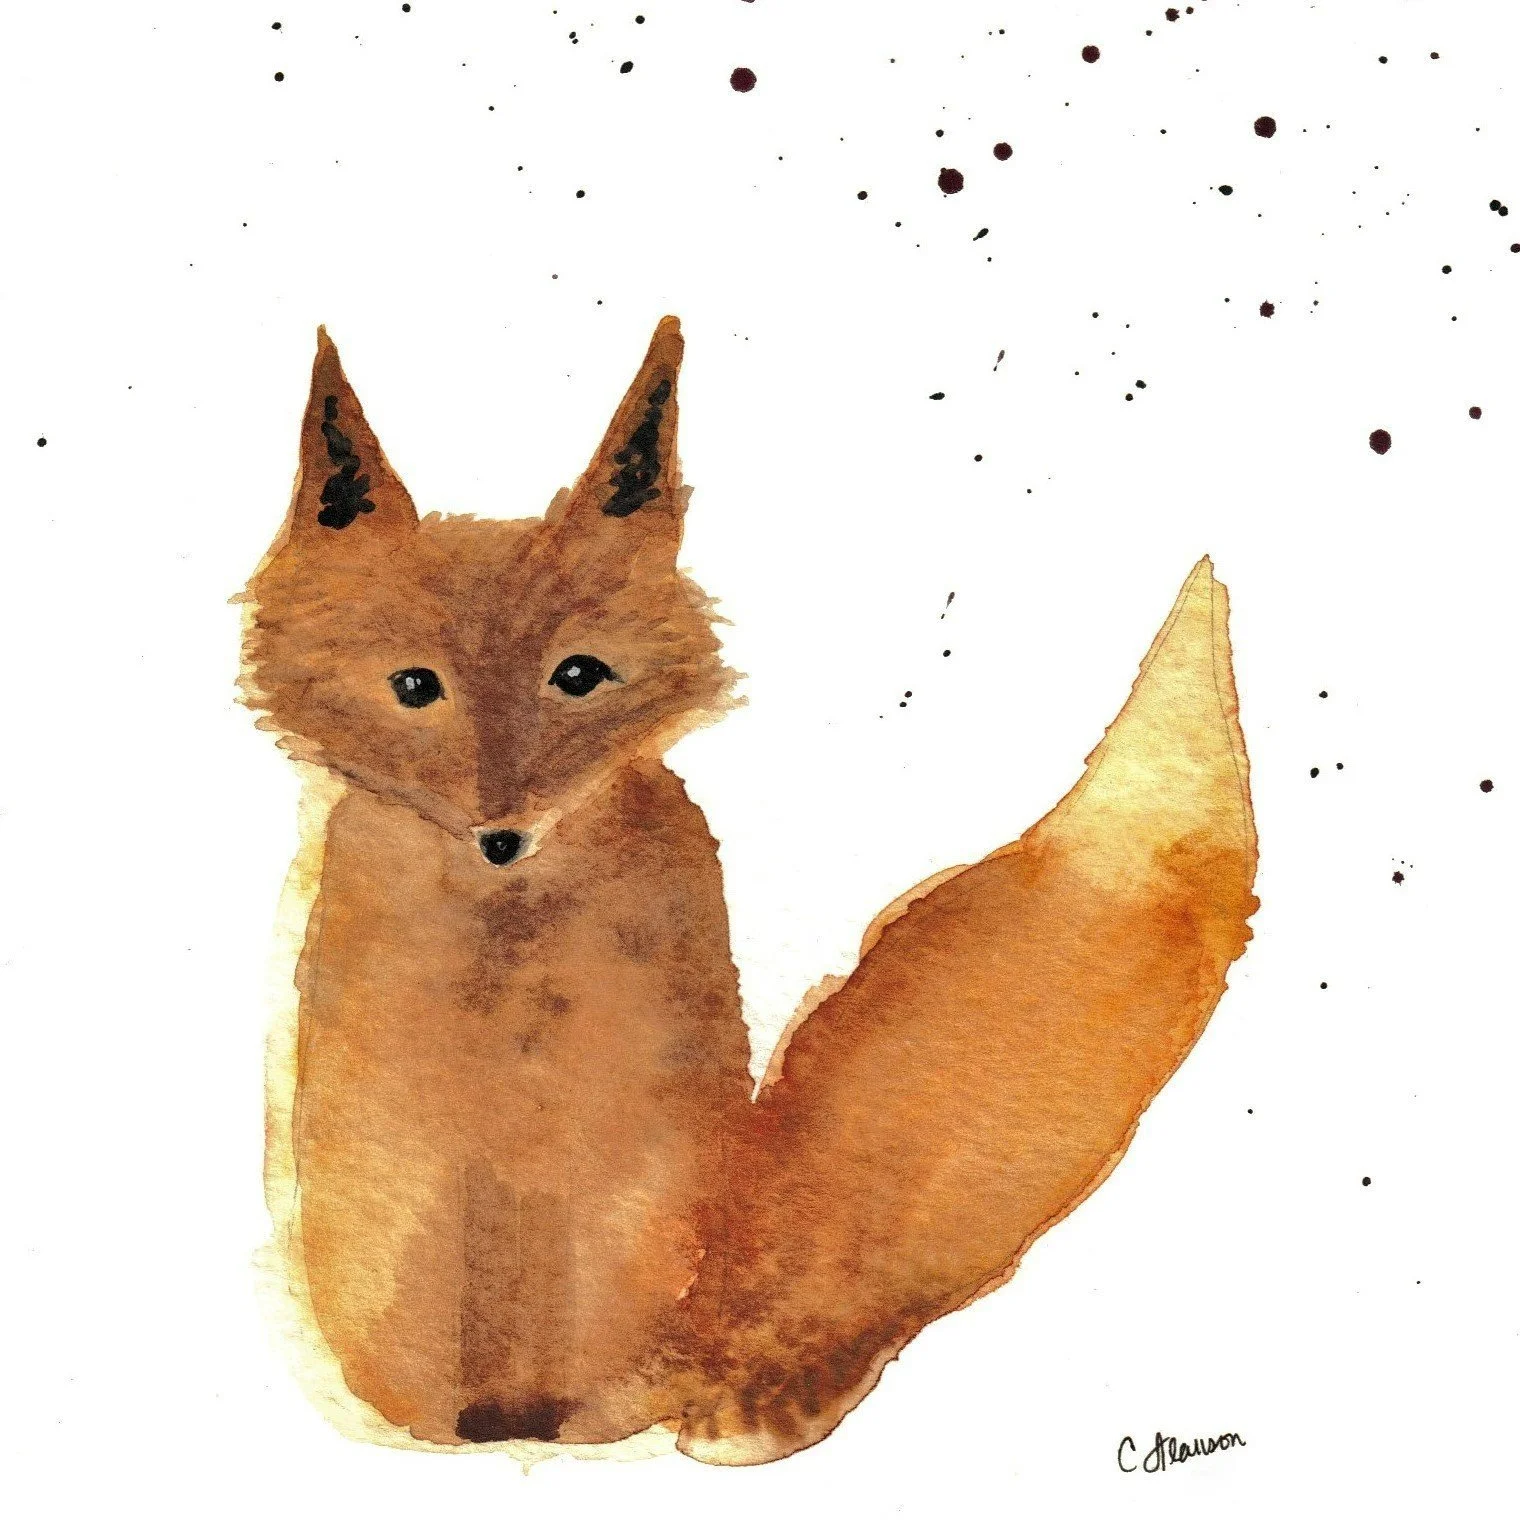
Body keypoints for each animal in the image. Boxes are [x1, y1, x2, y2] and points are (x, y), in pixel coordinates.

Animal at [240, 316, 1258, 1465]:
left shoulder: (626, 1184)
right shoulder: (398, 1175)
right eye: (415, 688)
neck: (506, 974)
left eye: (578, 676)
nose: (503, 834)